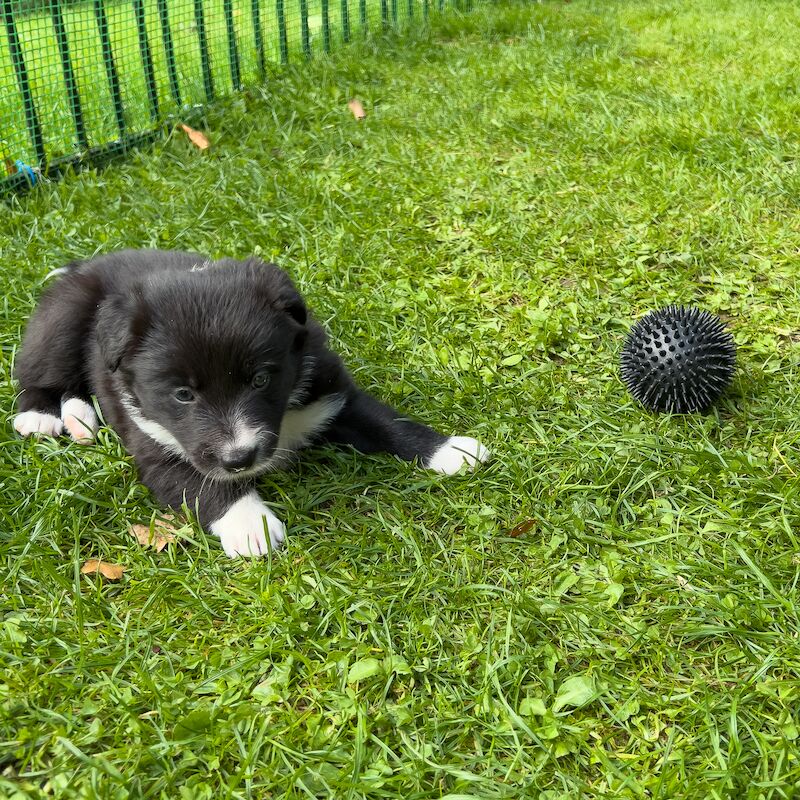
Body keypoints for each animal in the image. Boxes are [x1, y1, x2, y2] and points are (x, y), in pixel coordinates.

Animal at [14, 248, 488, 556]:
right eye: (183, 394)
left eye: (261, 379)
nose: (240, 457)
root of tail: (89, 264)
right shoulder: (158, 447)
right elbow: (203, 484)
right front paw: (249, 525)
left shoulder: (332, 393)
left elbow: (387, 422)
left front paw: (451, 451)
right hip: (65, 315)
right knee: (40, 371)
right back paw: (40, 416)